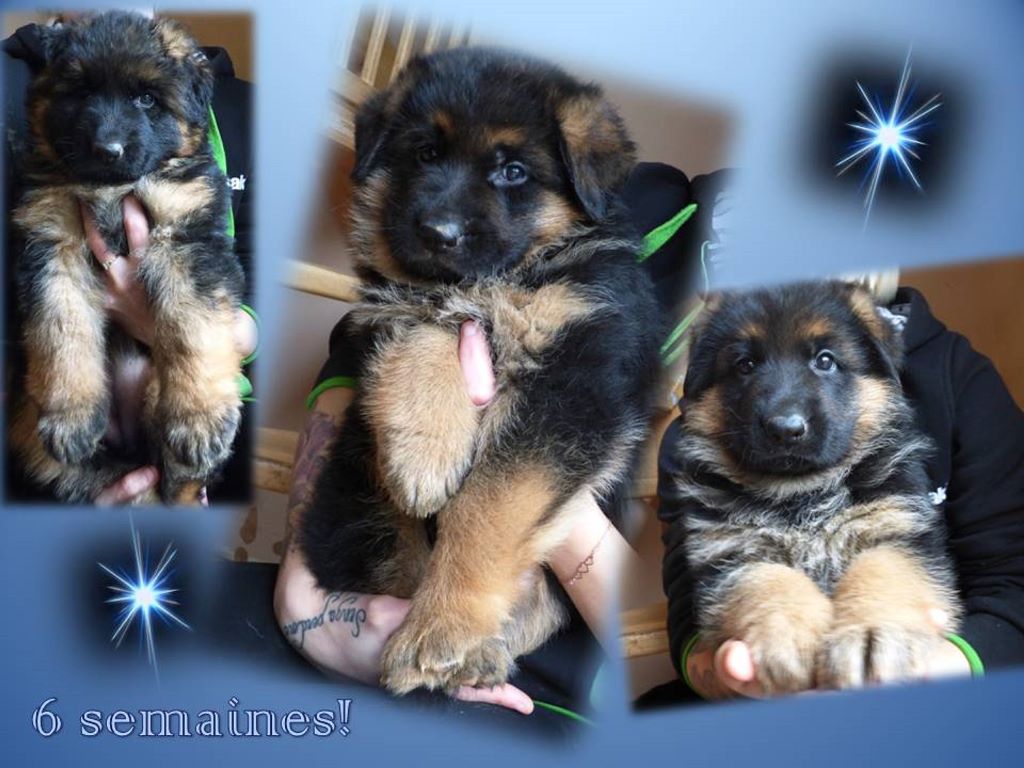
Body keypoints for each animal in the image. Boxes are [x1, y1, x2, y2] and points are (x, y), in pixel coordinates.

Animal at [9, 13, 243, 505]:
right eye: (81, 92)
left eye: (147, 98)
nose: (108, 149)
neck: (111, 188)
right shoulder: (51, 245)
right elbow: (62, 329)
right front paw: (72, 416)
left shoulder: (188, 238)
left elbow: (194, 327)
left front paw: (200, 418)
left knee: (180, 485)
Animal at [299, 48, 659, 696]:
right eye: (424, 153)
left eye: (513, 171)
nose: (437, 233)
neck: (509, 276)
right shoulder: (384, 318)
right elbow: (428, 322)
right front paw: (424, 454)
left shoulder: (577, 377)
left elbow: (490, 506)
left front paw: (442, 629)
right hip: (350, 489)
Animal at [667, 280, 962, 692]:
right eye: (745, 365)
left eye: (825, 361)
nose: (785, 429)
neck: (802, 493)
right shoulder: (728, 550)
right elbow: (765, 579)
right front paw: (788, 636)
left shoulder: (899, 528)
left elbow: (884, 570)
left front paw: (872, 633)